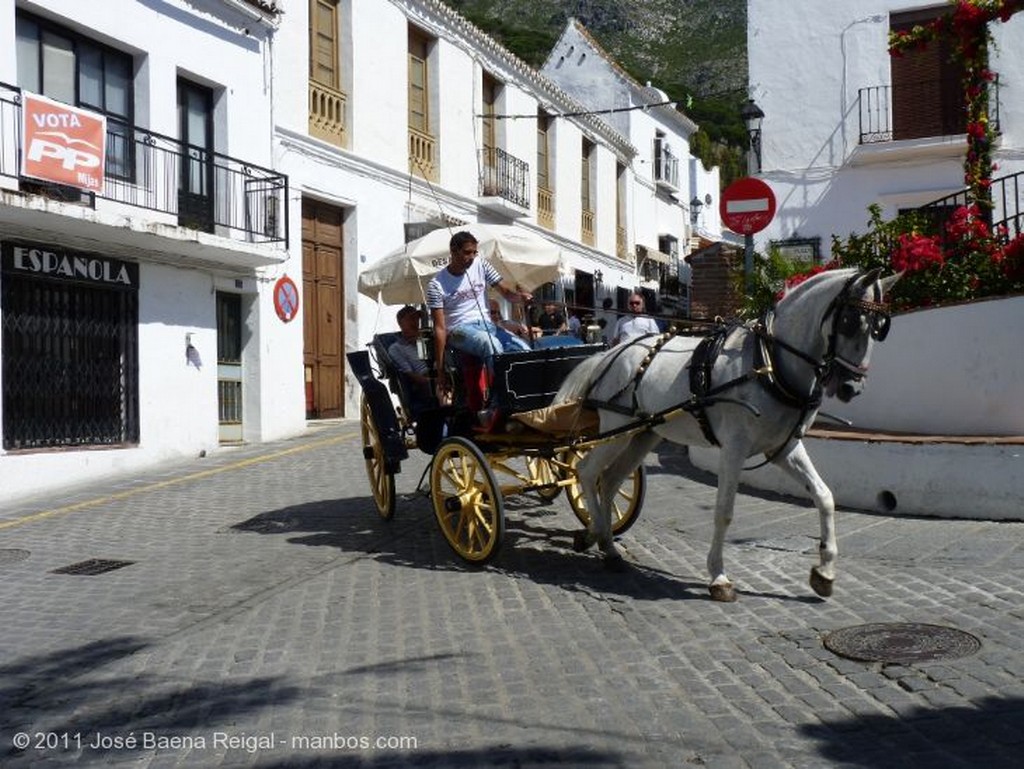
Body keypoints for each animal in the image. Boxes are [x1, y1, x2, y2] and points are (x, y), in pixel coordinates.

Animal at [557, 268, 901, 602]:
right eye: (849, 321)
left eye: (879, 329)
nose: (851, 387)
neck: (768, 362)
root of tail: (610, 353)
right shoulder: (734, 448)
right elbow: (724, 511)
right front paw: (718, 576)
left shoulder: (785, 448)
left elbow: (825, 496)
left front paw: (825, 572)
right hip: (615, 428)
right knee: (586, 471)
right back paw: (600, 535)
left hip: (642, 435)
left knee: (610, 480)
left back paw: (602, 541)